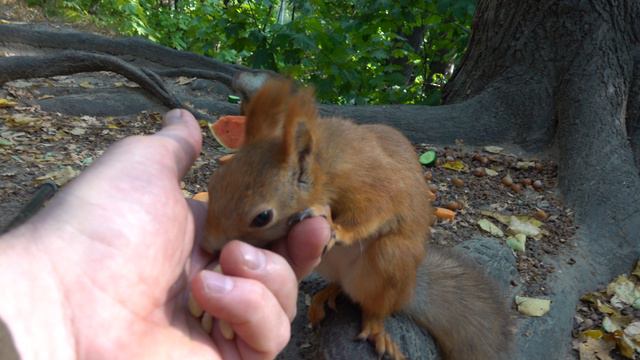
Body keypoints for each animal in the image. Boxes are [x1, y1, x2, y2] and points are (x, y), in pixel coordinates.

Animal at [202, 79, 512, 360]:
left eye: (262, 217)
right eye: (214, 183)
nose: (209, 246)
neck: (323, 168)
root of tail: (409, 290)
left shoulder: (371, 183)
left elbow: (376, 209)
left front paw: (336, 228)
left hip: (390, 260)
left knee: (376, 306)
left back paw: (375, 327)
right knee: (343, 286)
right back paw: (326, 294)